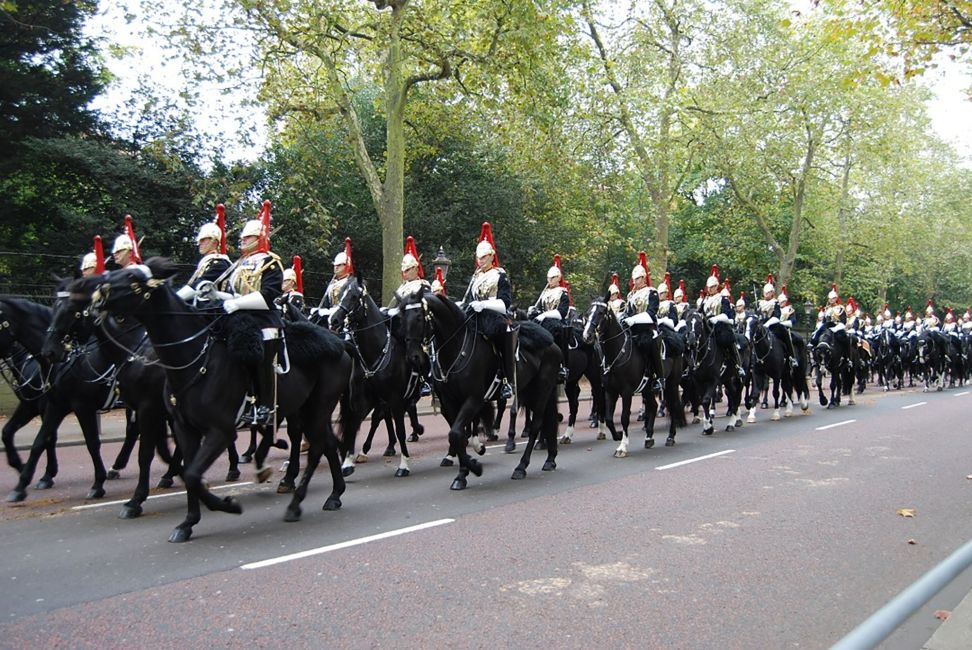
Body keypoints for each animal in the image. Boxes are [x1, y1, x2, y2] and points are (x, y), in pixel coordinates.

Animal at [71, 256, 354, 540]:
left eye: (132, 279)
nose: (97, 296)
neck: (193, 359)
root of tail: (340, 345)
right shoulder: (185, 427)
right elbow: (189, 472)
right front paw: (188, 522)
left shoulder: (219, 430)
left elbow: (190, 472)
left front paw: (228, 504)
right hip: (306, 409)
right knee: (326, 443)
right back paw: (333, 494)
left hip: (318, 407)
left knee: (317, 447)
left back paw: (297, 503)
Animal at [398, 292, 560, 488]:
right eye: (401, 318)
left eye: (419, 317)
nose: (413, 357)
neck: (456, 349)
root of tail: (553, 344)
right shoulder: (450, 401)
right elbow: (457, 435)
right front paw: (462, 473)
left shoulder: (474, 399)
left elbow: (456, 433)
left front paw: (474, 467)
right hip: (531, 391)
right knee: (548, 420)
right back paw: (550, 459)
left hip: (541, 391)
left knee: (536, 424)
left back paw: (521, 467)